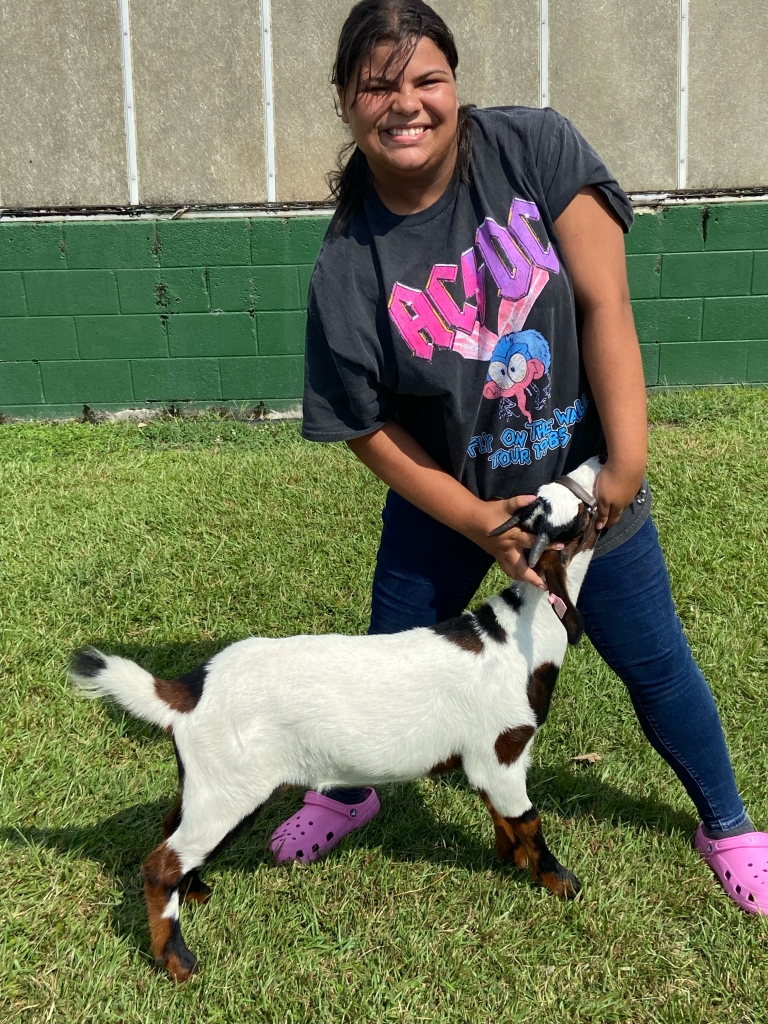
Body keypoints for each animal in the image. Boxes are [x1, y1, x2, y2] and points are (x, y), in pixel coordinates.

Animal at [69, 458, 606, 983]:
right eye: (581, 512)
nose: (600, 460)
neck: (519, 633)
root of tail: (186, 693)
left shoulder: (493, 761)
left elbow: (502, 814)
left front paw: (512, 860)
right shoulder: (502, 751)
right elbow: (527, 817)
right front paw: (560, 881)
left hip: (208, 784)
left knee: (172, 829)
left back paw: (196, 891)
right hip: (229, 789)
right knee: (160, 864)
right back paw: (177, 960)